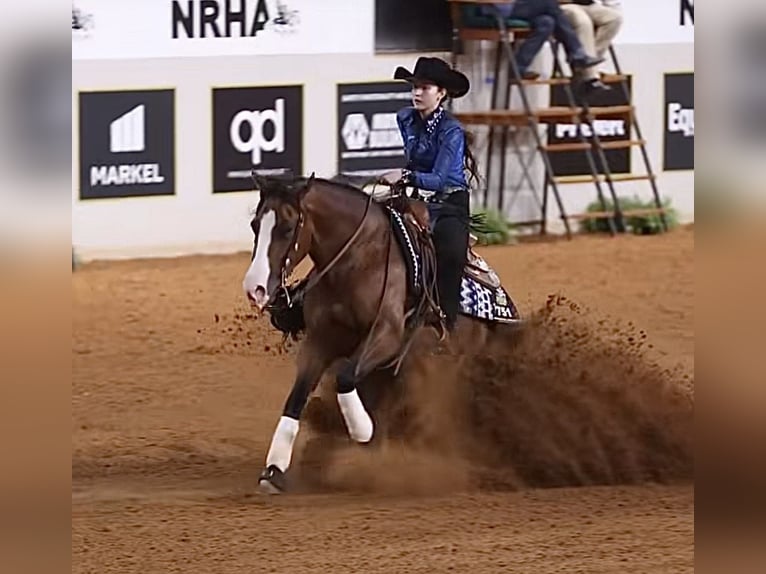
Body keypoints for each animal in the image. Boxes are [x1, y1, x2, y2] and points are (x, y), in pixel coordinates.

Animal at [242, 171, 522, 493]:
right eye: (255, 225)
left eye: (287, 227)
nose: (255, 289)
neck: (360, 258)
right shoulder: (321, 340)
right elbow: (297, 397)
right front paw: (274, 471)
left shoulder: (387, 336)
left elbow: (345, 378)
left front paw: (362, 430)